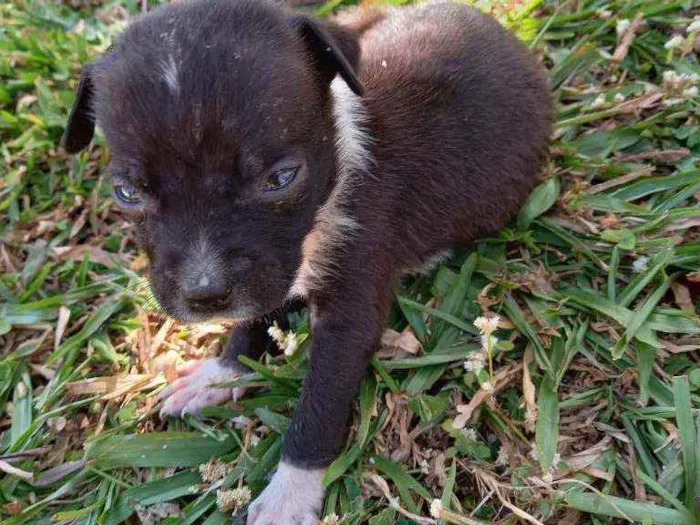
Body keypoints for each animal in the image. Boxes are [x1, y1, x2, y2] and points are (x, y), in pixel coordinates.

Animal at [64, 1, 552, 520]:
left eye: (281, 178)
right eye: (128, 193)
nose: (206, 296)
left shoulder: (348, 306)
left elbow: (320, 404)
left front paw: (289, 492)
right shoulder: (268, 272)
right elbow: (254, 320)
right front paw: (222, 373)